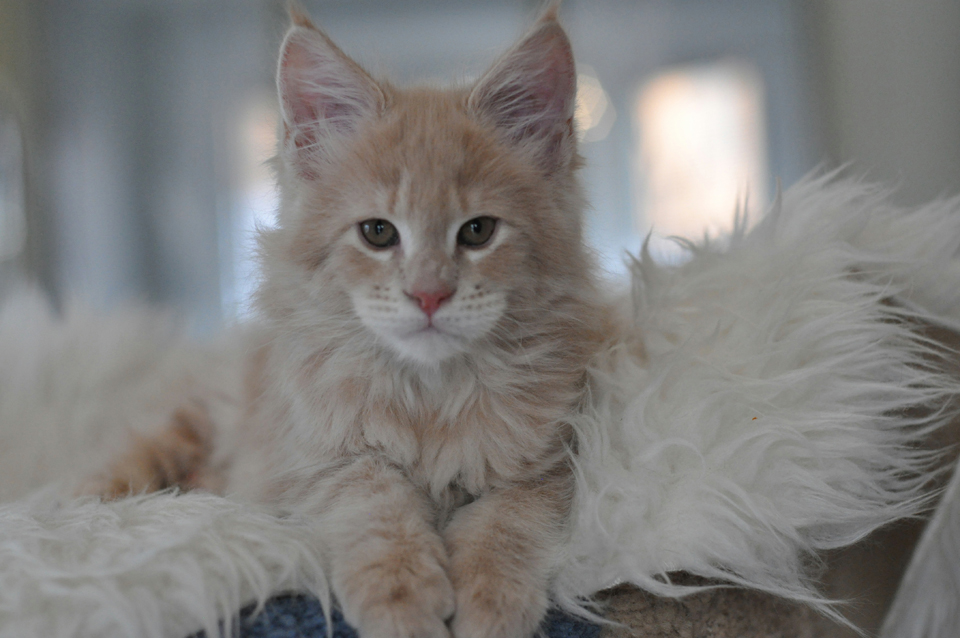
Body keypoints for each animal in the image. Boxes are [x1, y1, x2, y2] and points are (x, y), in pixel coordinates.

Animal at [92, 6, 616, 638]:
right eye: (378, 233)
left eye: (477, 231)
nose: (429, 294)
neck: (429, 396)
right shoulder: (319, 458)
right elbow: (377, 507)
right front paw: (404, 603)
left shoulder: (550, 464)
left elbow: (504, 527)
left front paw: (491, 605)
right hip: (174, 432)